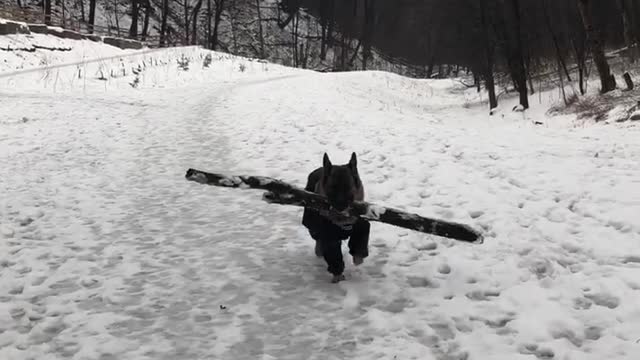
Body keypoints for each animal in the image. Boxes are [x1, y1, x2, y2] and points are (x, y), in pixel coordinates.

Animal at [302, 152, 370, 284]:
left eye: (348, 187)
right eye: (332, 188)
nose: (340, 206)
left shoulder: (361, 227)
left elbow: (359, 245)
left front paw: (358, 258)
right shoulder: (329, 238)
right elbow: (334, 256)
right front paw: (337, 274)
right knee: (317, 239)